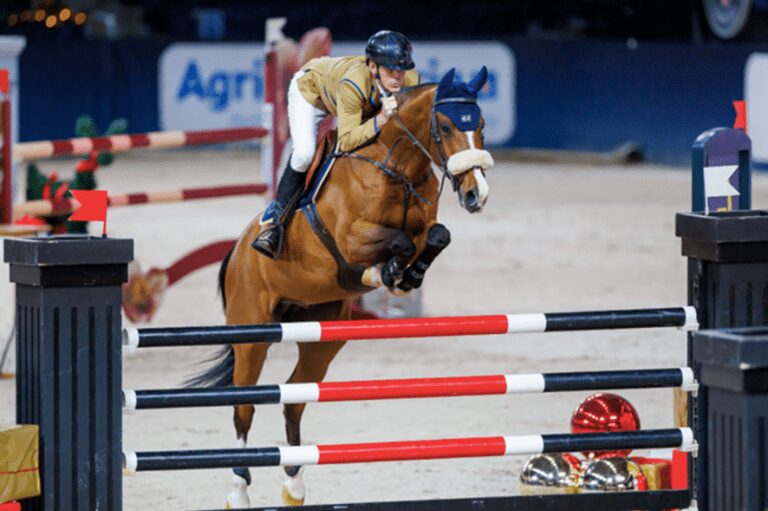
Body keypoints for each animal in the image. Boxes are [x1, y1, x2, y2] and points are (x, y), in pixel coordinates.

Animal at [192, 67, 494, 508]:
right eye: (444, 126)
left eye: (482, 126)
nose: (476, 195)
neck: (396, 166)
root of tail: (237, 253)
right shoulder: (351, 238)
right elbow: (398, 243)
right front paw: (386, 274)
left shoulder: (423, 226)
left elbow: (437, 236)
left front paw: (407, 276)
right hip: (252, 333)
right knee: (243, 406)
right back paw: (238, 489)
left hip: (323, 335)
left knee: (294, 398)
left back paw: (295, 485)